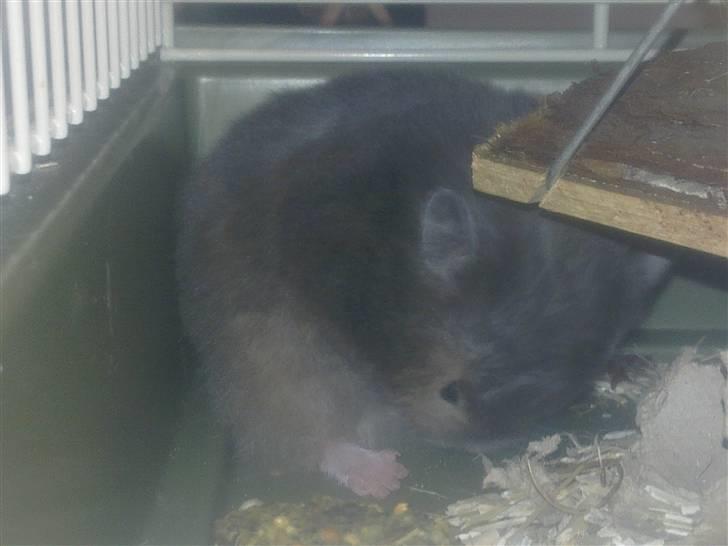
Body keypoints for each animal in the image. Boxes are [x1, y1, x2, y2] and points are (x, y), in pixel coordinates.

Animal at [176, 69, 669, 498]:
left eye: (561, 400)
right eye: (449, 391)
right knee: (299, 431)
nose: (472, 448)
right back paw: (382, 476)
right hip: (266, 356)